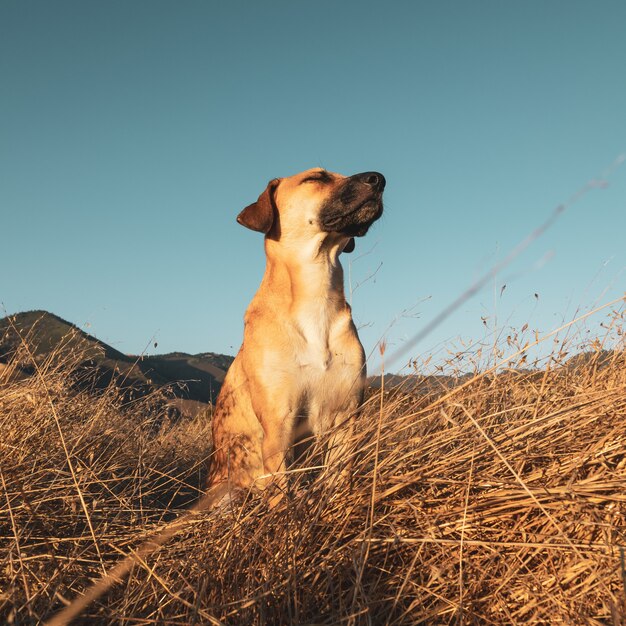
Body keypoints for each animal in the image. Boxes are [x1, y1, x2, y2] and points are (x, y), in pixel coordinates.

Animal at [44, 167, 382, 624]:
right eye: (317, 177)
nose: (379, 179)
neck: (316, 296)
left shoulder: (345, 422)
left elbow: (339, 485)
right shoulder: (279, 427)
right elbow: (283, 502)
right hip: (229, 494)